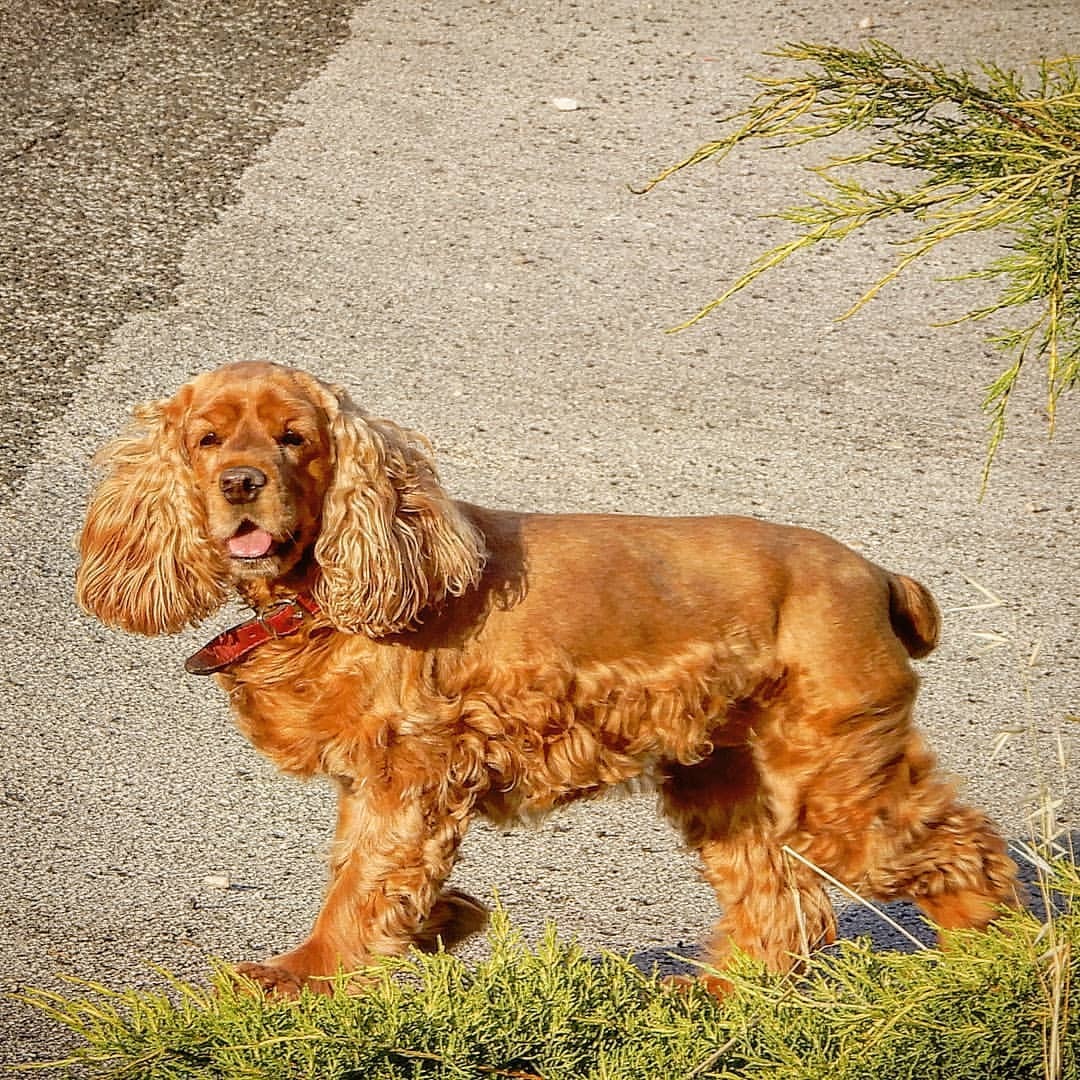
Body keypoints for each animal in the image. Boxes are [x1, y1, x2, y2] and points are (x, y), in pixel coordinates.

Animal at [78, 360, 1019, 993]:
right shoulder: (376, 781)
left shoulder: (408, 776)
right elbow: (372, 876)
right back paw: (712, 997)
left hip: (833, 773)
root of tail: (878, 574)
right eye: (206, 440)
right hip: (732, 778)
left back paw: (983, 967)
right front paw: (442, 919)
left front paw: (302, 973)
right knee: (782, 904)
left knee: (958, 849)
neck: (326, 596)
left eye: (294, 439)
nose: (241, 483)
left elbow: (360, 883)